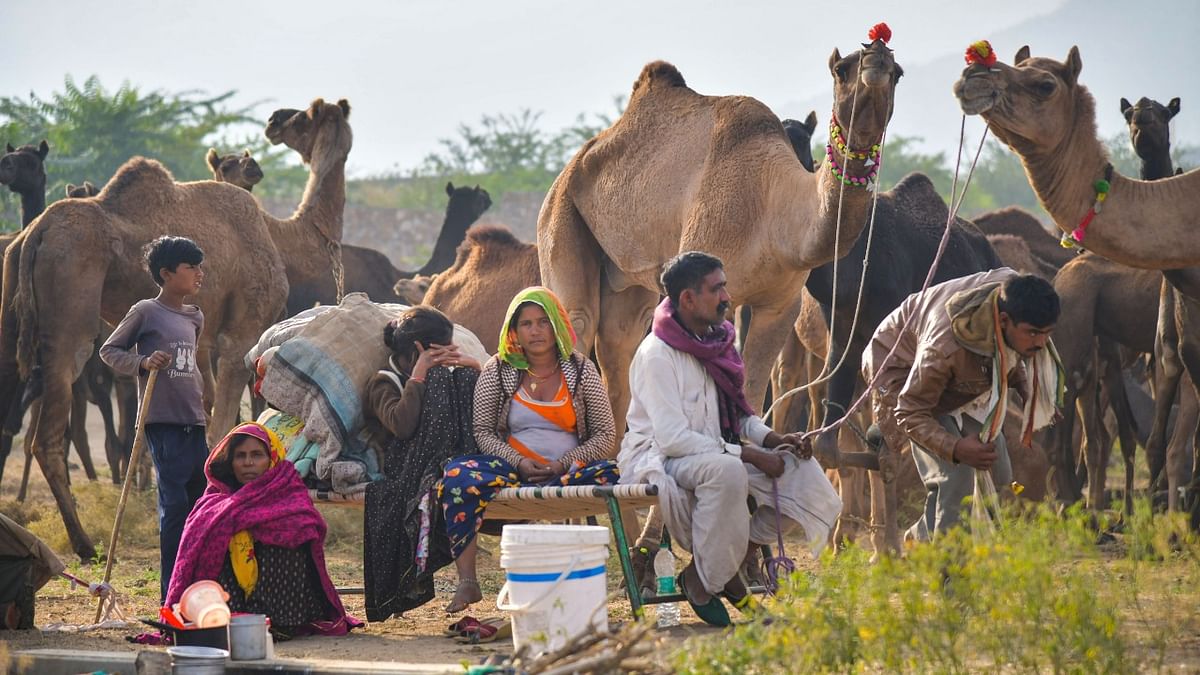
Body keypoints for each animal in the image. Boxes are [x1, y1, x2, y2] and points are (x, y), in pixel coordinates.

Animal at [0, 147, 288, 557]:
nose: (253, 169)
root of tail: (34, 233)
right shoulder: (242, 331)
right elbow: (221, 428)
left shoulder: (203, 340)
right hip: (70, 314)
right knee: (48, 436)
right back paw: (84, 543)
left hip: (11, 301)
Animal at [537, 35, 902, 420]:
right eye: (842, 69)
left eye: (898, 72)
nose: (876, 59)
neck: (774, 208)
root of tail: (571, 167)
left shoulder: (780, 305)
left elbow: (753, 393)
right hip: (560, 215)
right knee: (578, 320)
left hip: (626, 274)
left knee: (618, 341)